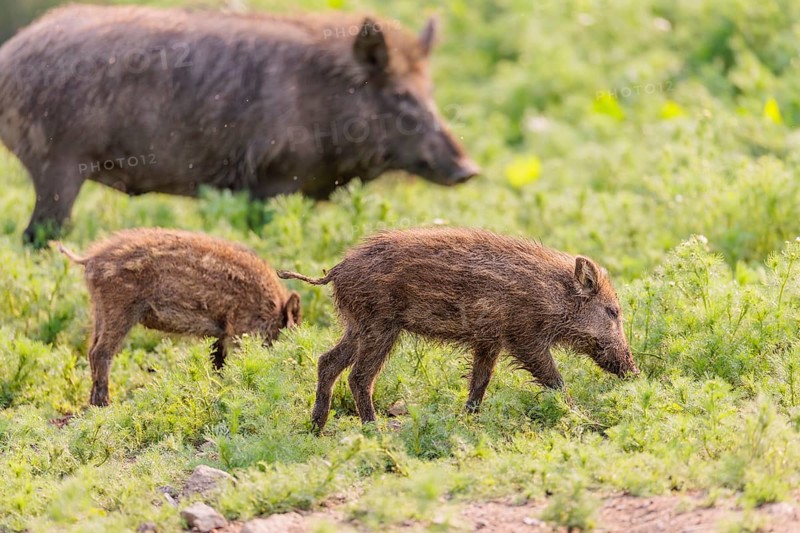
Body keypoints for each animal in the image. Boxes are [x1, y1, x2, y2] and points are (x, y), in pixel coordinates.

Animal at [0, 5, 480, 246]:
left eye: (430, 90)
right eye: (399, 95)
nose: (469, 169)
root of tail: (9, 55)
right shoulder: (272, 180)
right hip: (59, 163)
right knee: (37, 234)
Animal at [56, 228, 301, 406]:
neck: (270, 307)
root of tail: (90, 259)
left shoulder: (220, 333)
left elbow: (217, 361)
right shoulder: (240, 329)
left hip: (99, 309)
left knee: (91, 349)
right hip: (119, 308)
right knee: (101, 352)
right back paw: (104, 404)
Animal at [278, 227, 638, 431]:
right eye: (613, 311)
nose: (633, 372)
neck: (553, 296)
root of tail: (336, 270)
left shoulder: (489, 340)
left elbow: (480, 382)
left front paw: (468, 420)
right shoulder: (524, 337)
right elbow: (554, 381)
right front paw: (585, 420)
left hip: (357, 326)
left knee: (327, 362)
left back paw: (316, 427)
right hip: (379, 327)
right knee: (359, 377)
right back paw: (374, 430)